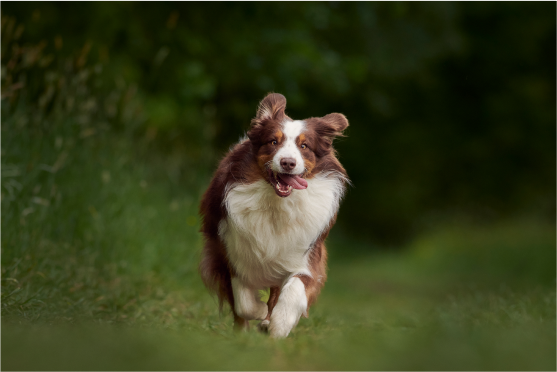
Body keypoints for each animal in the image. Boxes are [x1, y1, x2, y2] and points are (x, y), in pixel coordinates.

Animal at [199, 92, 348, 338]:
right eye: (273, 142)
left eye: (304, 146)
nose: (288, 162)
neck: (277, 204)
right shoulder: (228, 250)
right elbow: (243, 302)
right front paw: (257, 313)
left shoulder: (306, 255)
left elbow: (295, 288)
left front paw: (279, 324)